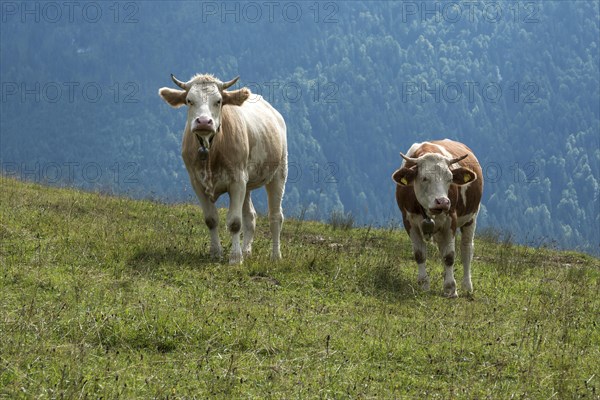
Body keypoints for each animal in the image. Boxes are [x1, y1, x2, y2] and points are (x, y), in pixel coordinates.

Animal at [159, 73, 286, 264]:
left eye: (218, 101)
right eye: (189, 100)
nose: (204, 122)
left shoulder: (237, 180)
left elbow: (234, 222)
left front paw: (235, 258)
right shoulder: (197, 182)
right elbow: (211, 219)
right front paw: (216, 252)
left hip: (278, 172)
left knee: (275, 216)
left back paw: (275, 256)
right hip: (247, 184)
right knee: (250, 216)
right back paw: (247, 251)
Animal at [394, 140, 482, 296]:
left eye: (450, 178)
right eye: (424, 178)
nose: (443, 202)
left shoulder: (451, 220)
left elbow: (449, 256)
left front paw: (451, 288)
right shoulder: (408, 221)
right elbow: (420, 254)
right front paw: (423, 284)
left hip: (471, 217)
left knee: (466, 249)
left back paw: (467, 286)